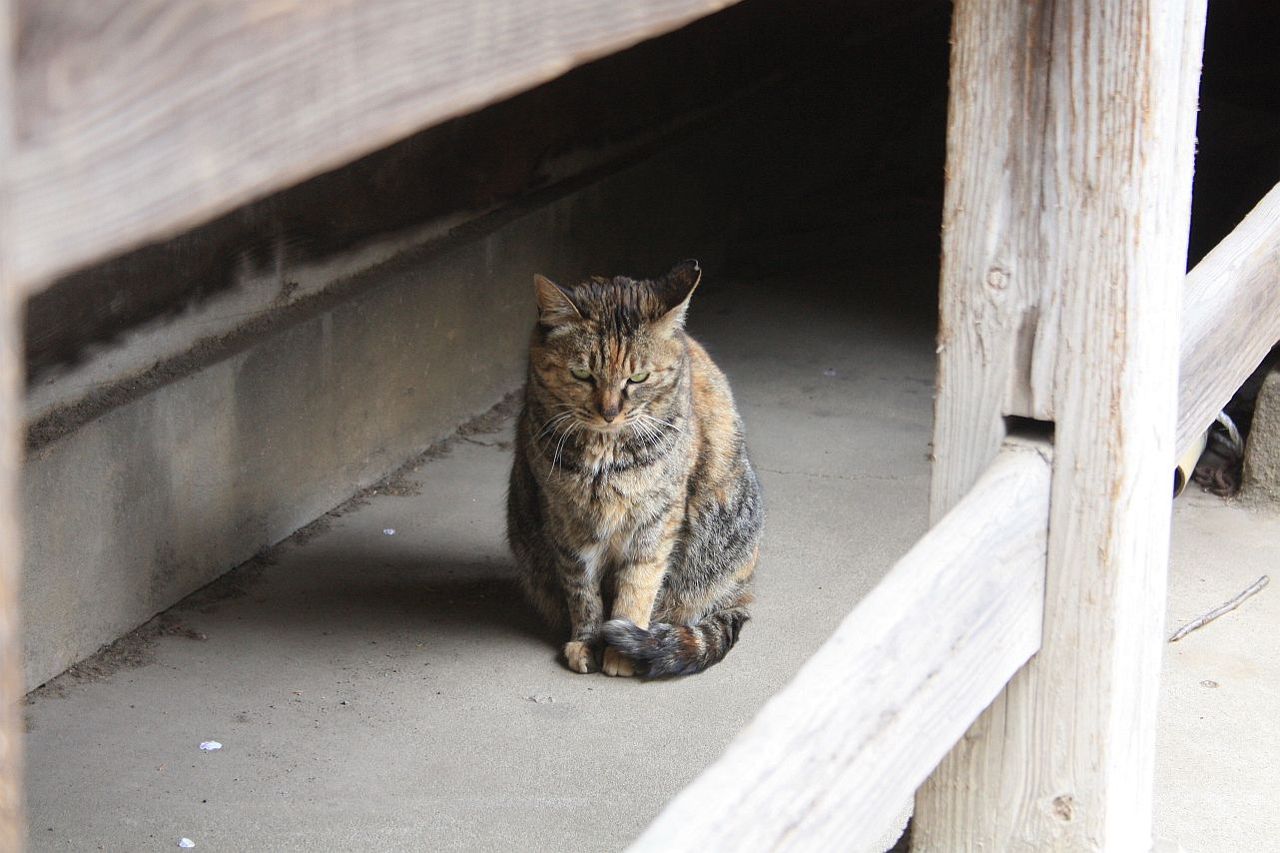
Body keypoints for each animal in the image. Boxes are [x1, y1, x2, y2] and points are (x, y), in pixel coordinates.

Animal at [506, 259, 763, 677]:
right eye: (582, 374)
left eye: (638, 377)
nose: (609, 412)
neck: (605, 457)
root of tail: (741, 594)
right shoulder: (565, 521)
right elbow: (582, 590)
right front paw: (586, 641)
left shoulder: (656, 520)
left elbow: (637, 586)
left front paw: (620, 649)